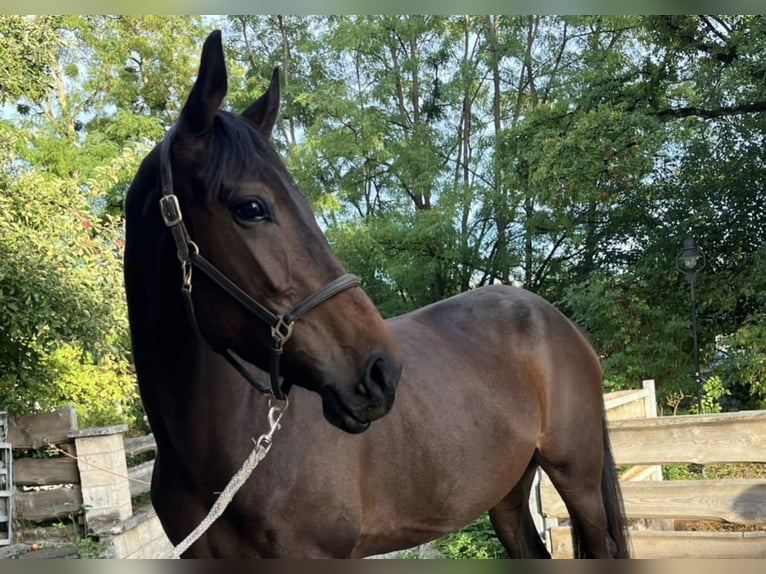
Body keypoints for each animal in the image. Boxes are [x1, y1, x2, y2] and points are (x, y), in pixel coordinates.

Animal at [124, 30, 629, 559]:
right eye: (251, 207)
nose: (382, 372)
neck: (219, 459)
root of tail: (562, 324)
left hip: (578, 482)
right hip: (508, 492)